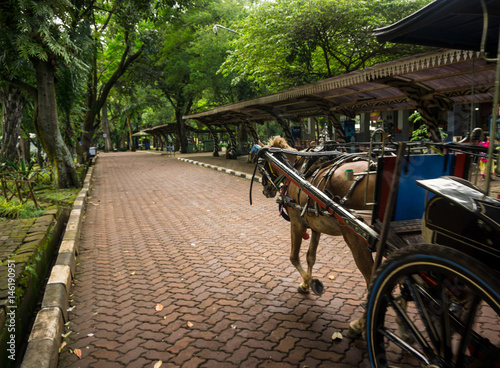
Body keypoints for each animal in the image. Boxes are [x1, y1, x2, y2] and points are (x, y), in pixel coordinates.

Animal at [256, 137, 376, 334]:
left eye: (261, 166)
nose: (266, 190)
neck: (295, 171)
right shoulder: (315, 227)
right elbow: (310, 256)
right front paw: (306, 285)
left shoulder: (297, 223)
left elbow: (294, 257)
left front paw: (311, 282)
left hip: (357, 239)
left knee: (373, 280)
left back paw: (359, 324)